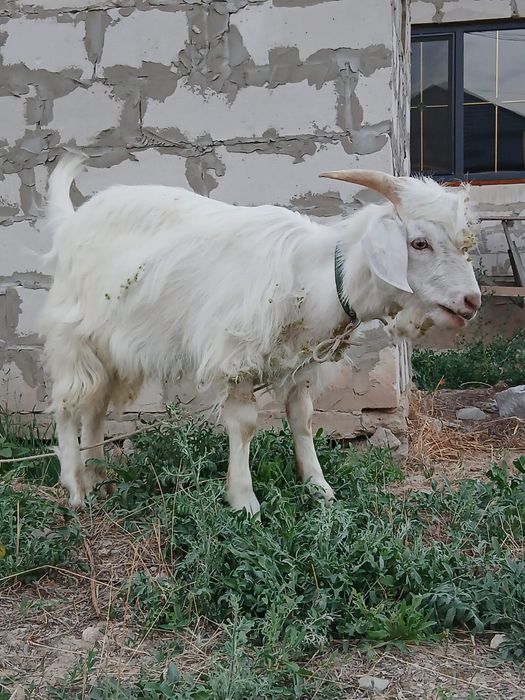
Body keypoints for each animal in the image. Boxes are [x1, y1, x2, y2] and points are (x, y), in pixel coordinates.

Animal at [40, 155, 481, 512]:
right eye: (419, 243)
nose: (472, 301)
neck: (314, 275)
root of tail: (70, 222)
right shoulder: (235, 357)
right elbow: (245, 424)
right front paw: (244, 499)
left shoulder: (302, 364)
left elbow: (302, 419)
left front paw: (318, 486)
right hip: (75, 338)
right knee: (68, 405)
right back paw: (76, 489)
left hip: (112, 351)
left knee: (95, 408)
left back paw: (100, 478)